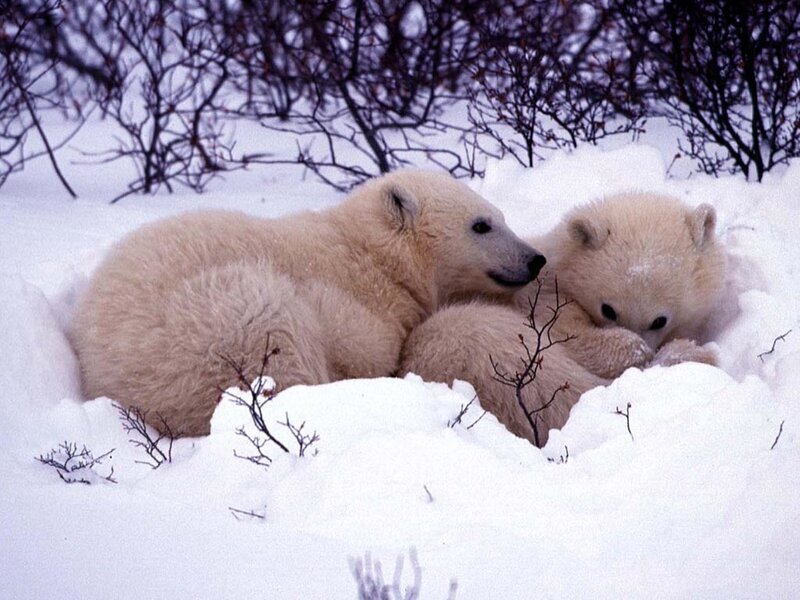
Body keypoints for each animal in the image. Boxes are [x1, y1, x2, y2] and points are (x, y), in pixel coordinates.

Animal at [70, 169, 546, 437]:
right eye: (481, 225)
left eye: (501, 216)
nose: (535, 259)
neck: (369, 252)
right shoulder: (355, 295)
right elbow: (363, 343)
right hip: (208, 327)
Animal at [400, 192, 727, 446]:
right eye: (608, 309)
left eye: (660, 319)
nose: (642, 361)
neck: (560, 266)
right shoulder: (542, 299)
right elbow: (570, 336)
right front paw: (649, 352)